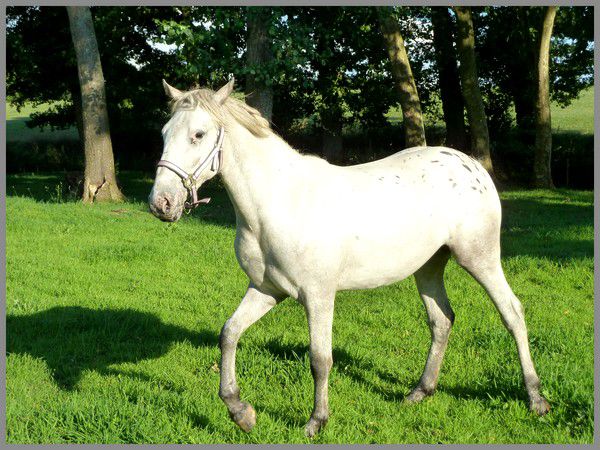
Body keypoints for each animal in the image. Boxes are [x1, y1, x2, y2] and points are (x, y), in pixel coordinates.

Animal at [149, 78, 550, 437]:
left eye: (199, 135)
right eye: (165, 133)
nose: (161, 203)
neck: (278, 202)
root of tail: (472, 165)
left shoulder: (318, 296)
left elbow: (320, 358)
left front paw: (316, 421)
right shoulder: (266, 290)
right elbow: (229, 334)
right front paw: (240, 412)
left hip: (480, 258)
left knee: (512, 313)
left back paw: (536, 399)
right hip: (429, 267)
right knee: (442, 320)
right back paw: (419, 392)